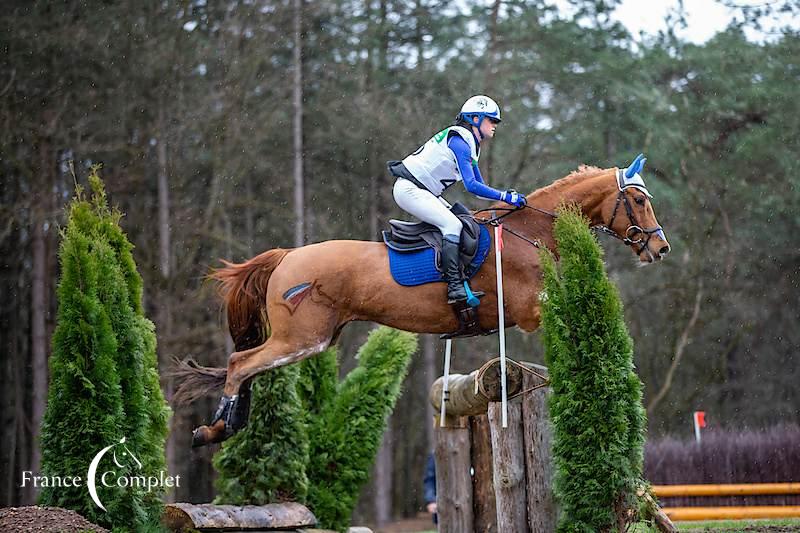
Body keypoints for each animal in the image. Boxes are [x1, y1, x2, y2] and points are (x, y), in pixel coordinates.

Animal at [180, 158, 668, 444]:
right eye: (638, 200)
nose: (660, 249)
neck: (529, 232)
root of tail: (286, 256)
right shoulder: (532, 309)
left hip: (312, 339)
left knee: (246, 364)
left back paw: (228, 425)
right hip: (302, 338)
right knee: (240, 363)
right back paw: (216, 429)